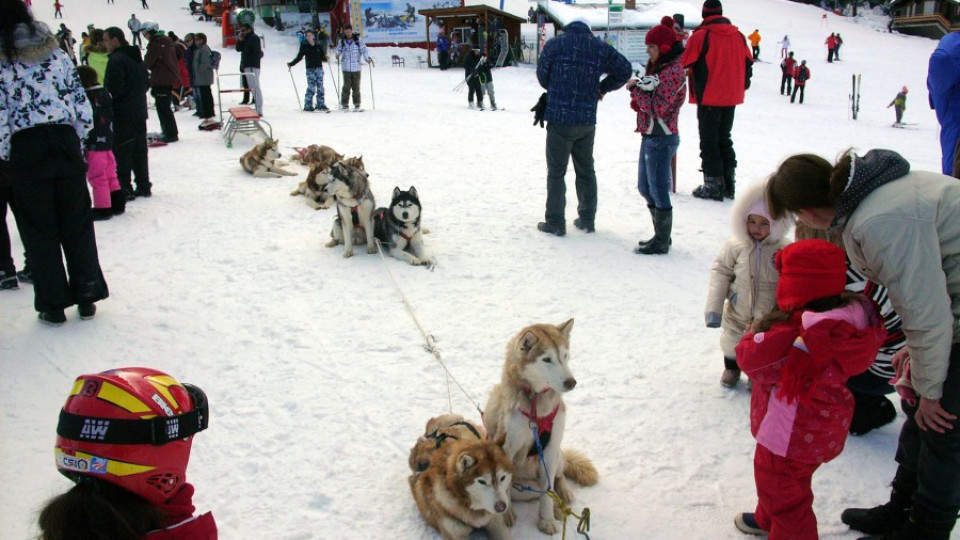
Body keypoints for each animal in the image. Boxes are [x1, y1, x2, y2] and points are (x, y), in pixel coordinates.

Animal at [484, 318, 596, 532]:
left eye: (565, 355)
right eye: (546, 359)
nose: (571, 382)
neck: (536, 407)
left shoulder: (550, 450)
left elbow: (548, 492)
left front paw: (547, 520)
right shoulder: (507, 448)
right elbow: (504, 488)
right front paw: (506, 513)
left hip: (557, 455)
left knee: (557, 479)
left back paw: (562, 497)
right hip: (522, 486)